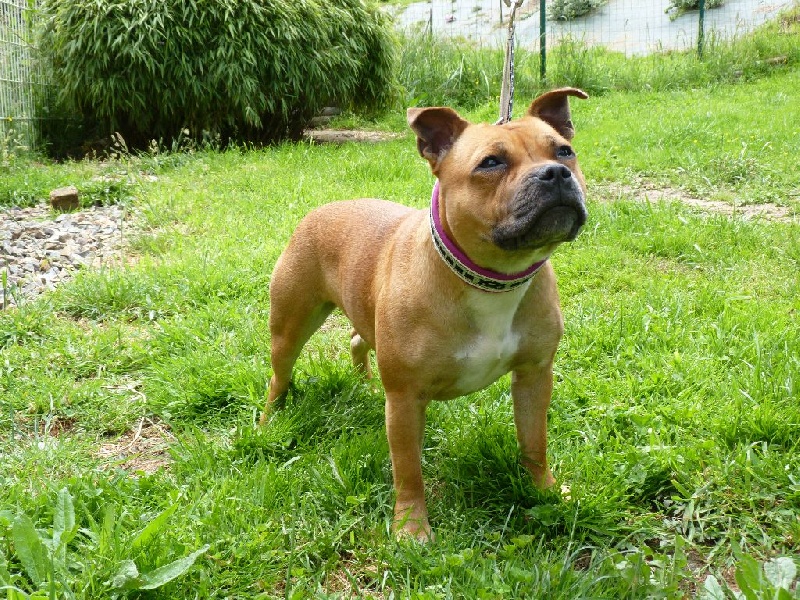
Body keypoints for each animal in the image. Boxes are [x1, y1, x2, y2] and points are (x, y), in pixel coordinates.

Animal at [262, 88, 588, 540]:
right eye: (491, 162)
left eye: (564, 151)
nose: (555, 173)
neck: (492, 279)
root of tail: (323, 208)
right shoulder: (405, 399)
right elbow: (408, 470)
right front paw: (411, 528)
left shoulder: (534, 376)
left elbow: (534, 442)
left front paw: (547, 490)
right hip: (290, 325)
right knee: (280, 374)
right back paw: (269, 421)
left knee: (357, 338)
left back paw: (364, 382)